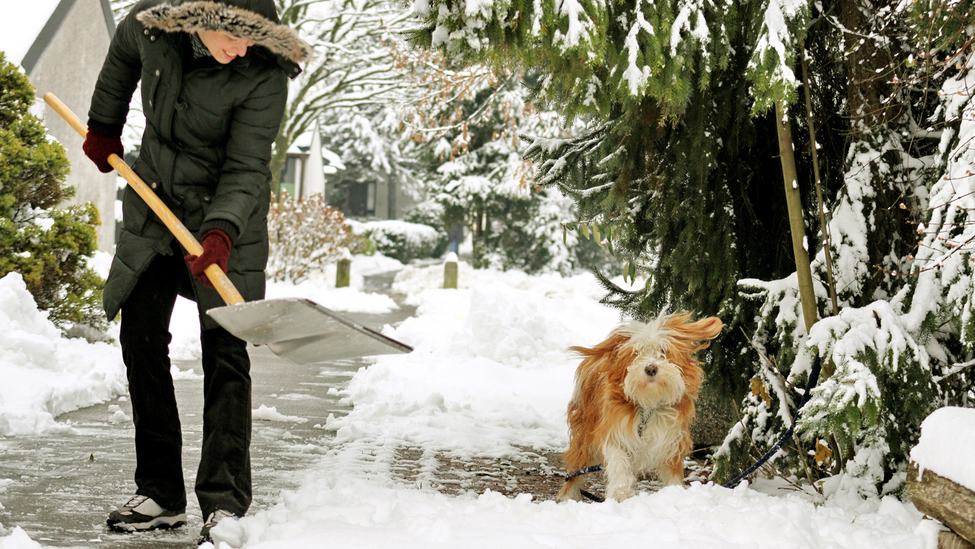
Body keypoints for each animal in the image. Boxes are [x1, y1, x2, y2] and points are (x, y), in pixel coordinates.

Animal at [556, 312, 724, 500]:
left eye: (663, 351)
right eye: (636, 353)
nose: (650, 368)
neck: (649, 405)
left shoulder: (672, 440)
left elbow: (672, 474)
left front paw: (674, 493)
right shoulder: (613, 431)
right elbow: (618, 462)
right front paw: (620, 493)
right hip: (584, 435)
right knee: (575, 471)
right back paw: (567, 497)